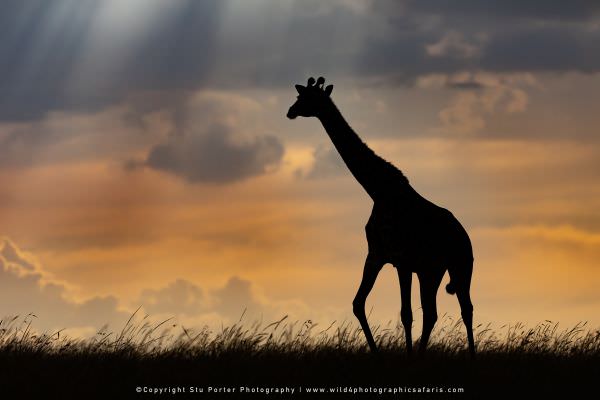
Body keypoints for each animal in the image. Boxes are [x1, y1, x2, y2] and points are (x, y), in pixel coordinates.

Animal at [286, 76, 474, 356]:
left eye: (306, 98)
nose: (290, 111)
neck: (379, 191)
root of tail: (465, 236)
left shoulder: (401, 260)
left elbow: (405, 313)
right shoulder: (377, 254)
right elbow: (358, 303)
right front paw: (380, 352)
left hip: (460, 266)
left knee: (464, 309)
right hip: (433, 270)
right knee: (434, 312)